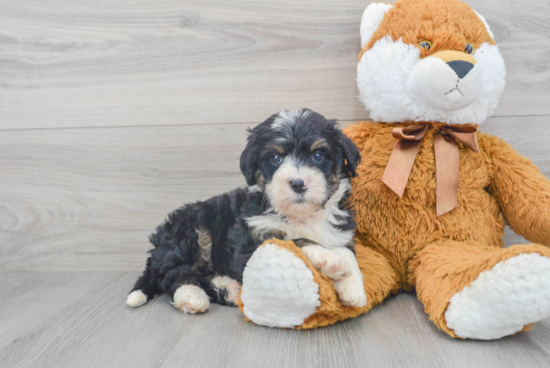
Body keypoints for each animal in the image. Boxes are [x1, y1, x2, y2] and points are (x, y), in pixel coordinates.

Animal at [128, 108, 368, 314]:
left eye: (318, 156)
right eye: (276, 158)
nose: (298, 183)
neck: (301, 216)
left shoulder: (338, 232)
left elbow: (347, 253)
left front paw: (354, 288)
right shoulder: (251, 240)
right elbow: (294, 240)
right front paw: (328, 258)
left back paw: (229, 289)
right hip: (192, 231)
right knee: (172, 275)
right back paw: (192, 296)